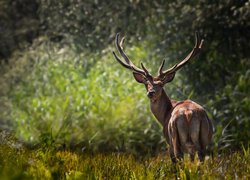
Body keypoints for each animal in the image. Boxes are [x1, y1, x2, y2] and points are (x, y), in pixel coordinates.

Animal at [112, 32, 214, 163]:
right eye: (146, 84)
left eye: (161, 84)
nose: (151, 93)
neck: (163, 116)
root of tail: (188, 114)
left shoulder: (168, 142)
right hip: (203, 140)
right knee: (200, 159)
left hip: (174, 138)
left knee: (179, 158)